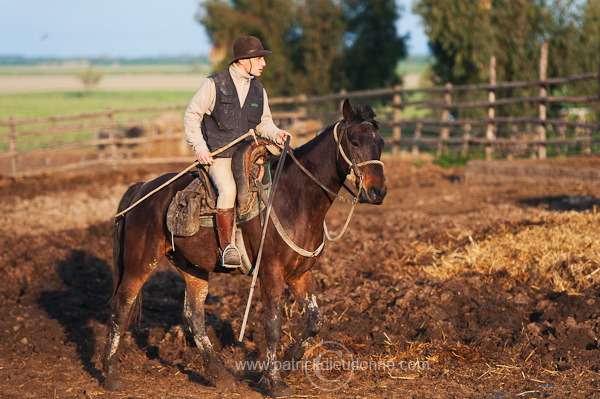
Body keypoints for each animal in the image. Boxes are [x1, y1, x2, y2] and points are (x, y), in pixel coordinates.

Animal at [101, 99, 386, 396]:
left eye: (381, 143)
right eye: (354, 141)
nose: (378, 192)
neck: (294, 199)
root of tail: (143, 188)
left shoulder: (300, 274)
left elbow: (314, 321)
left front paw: (285, 365)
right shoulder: (271, 272)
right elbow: (272, 324)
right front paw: (274, 381)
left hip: (193, 269)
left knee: (194, 317)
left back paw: (219, 375)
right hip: (139, 263)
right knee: (121, 308)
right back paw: (111, 375)